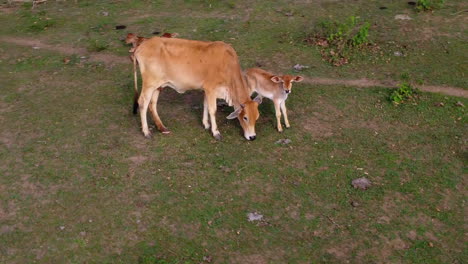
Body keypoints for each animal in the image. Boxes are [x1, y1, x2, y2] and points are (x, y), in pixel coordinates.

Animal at [133, 37, 262, 140]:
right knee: (143, 103)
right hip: (149, 84)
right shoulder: (211, 89)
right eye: (245, 117)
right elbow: (212, 110)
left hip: (158, 86)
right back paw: (146, 132)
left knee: (152, 104)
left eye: (257, 117)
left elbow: (205, 105)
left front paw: (206, 124)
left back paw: (162, 127)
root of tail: (140, 47)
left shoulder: (207, 90)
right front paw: (215, 132)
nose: (252, 137)